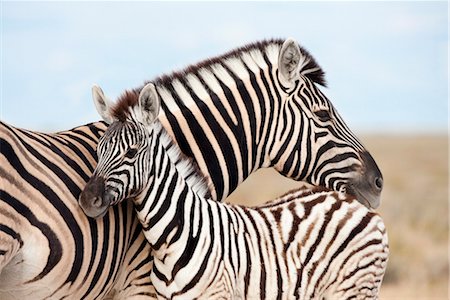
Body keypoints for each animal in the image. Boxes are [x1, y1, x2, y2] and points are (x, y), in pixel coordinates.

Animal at [79, 83, 388, 298]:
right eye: (98, 150)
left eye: (131, 152)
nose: (86, 200)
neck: (175, 236)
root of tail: (359, 206)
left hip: (354, 289)